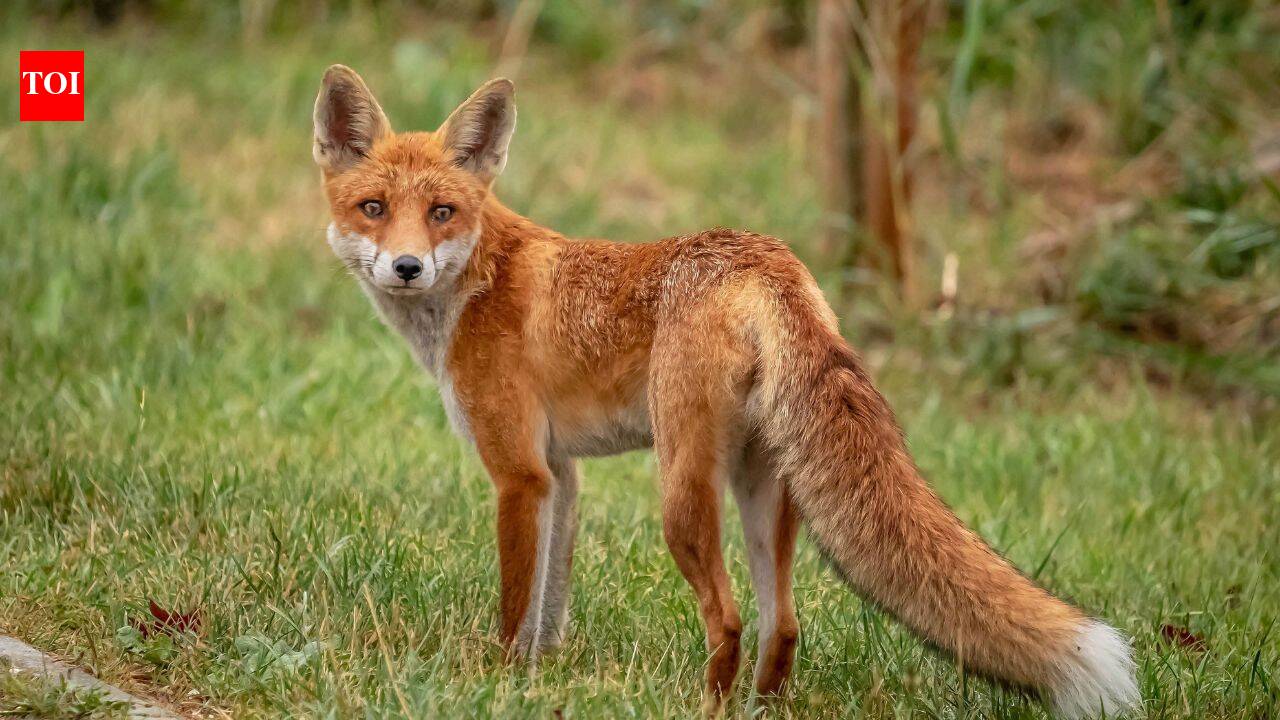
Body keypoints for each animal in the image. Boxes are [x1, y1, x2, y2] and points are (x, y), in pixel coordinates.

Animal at [312, 65, 1140, 718]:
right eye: (374, 209)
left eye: (442, 212)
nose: (408, 267)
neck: (476, 284)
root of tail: (766, 258)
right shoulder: (561, 474)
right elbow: (550, 604)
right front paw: (541, 680)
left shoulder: (519, 473)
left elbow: (518, 607)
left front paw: (502, 681)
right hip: (764, 489)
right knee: (784, 625)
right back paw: (762, 706)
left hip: (681, 494)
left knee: (731, 620)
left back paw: (706, 703)